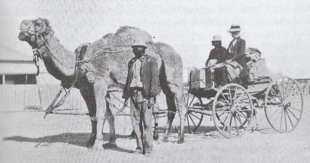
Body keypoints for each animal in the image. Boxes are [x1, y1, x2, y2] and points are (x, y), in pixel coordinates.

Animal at [18, 18, 186, 149]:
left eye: (38, 23)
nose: (22, 25)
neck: (79, 62)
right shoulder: (86, 88)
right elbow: (95, 114)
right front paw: (94, 141)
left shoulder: (100, 82)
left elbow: (100, 113)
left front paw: (98, 144)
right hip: (162, 83)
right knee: (171, 107)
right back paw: (164, 136)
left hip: (174, 76)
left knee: (181, 105)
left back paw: (180, 138)